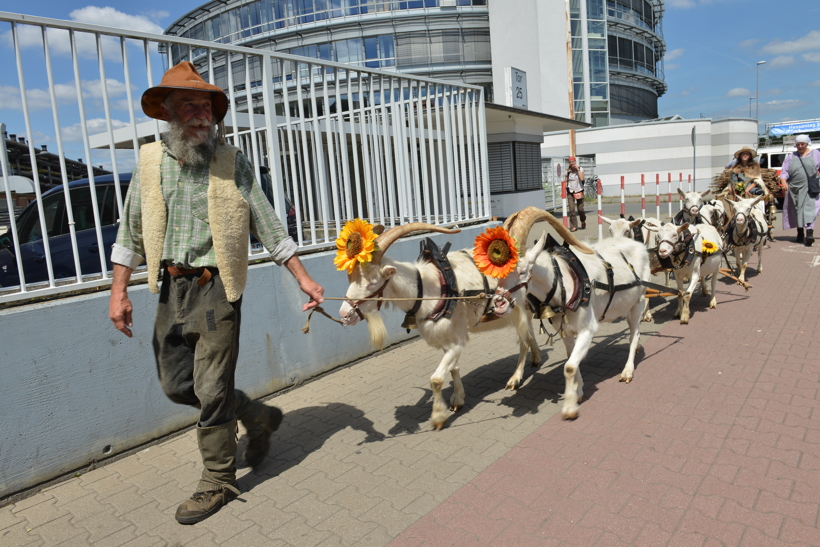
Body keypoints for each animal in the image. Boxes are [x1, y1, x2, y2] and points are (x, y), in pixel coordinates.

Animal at [340, 220, 544, 430]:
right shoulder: (447, 339)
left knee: (523, 341)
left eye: (373, 282)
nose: (345, 314)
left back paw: (515, 379)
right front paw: (457, 400)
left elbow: (436, 380)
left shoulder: (457, 341)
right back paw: (536, 357)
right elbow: (453, 368)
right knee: (529, 334)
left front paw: (439, 417)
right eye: (350, 278)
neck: (430, 290)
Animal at [486, 208, 652, 422]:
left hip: (637, 303)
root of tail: (638, 245)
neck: (565, 283)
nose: (498, 305)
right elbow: (571, 360)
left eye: (523, 271)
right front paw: (578, 392)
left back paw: (628, 371)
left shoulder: (587, 330)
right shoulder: (566, 331)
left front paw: (570, 408)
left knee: (634, 335)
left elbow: (569, 367)